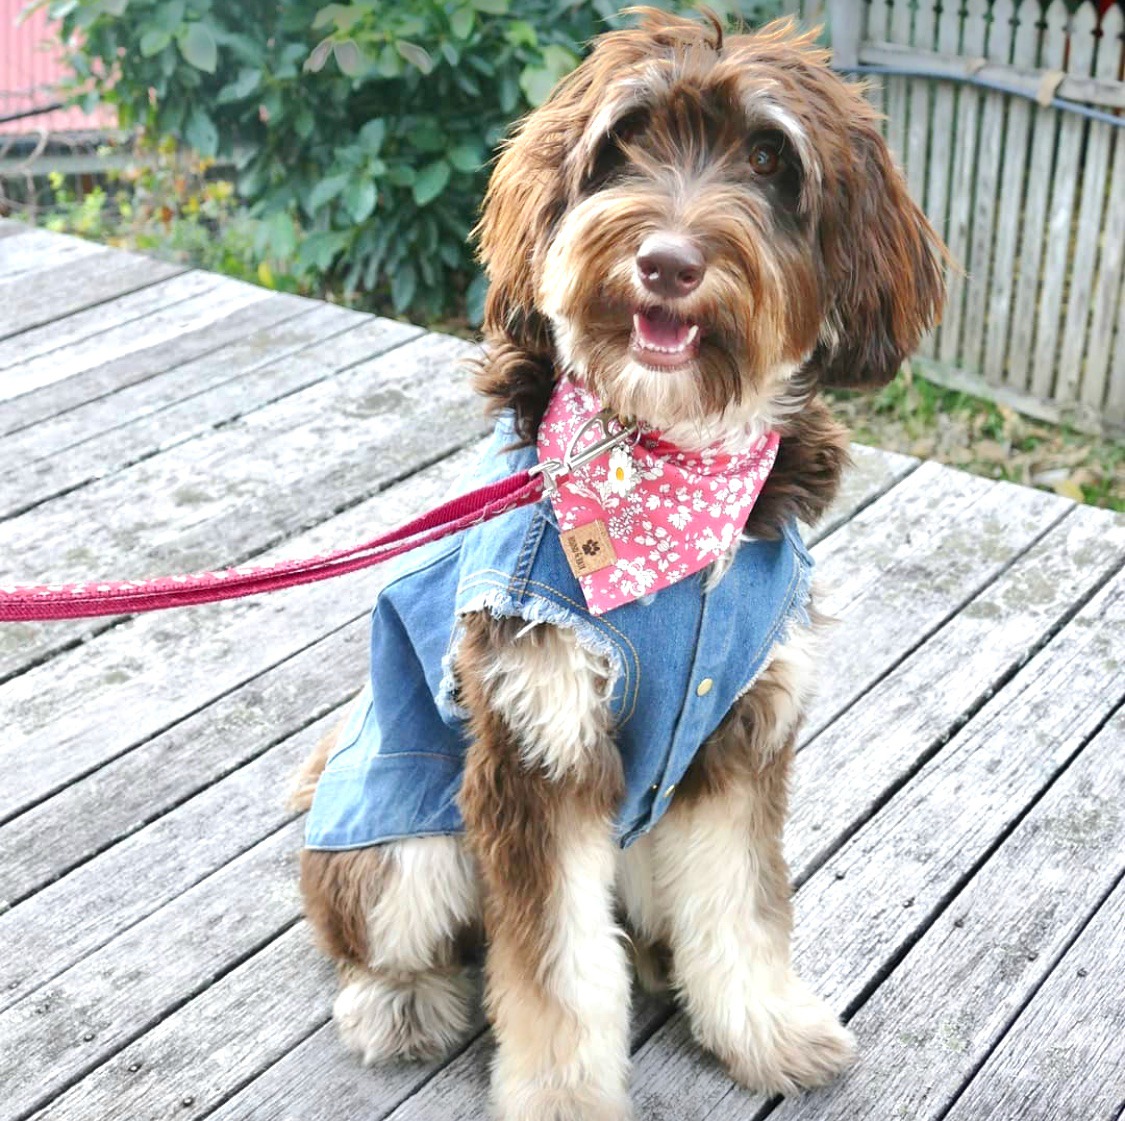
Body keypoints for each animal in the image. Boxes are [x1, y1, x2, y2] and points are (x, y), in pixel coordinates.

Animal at [294, 10, 945, 1121]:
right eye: (624, 143)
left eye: (768, 159)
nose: (668, 262)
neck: (663, 457)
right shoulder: (536, 743)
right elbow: (557, 967)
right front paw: (563, 1096)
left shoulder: (741, 727)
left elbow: (740, 904)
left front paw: (765, 1028)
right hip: (400, 844)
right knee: (374, 933)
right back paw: (399, 1001)